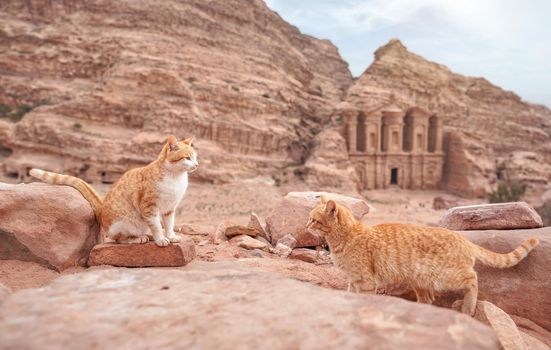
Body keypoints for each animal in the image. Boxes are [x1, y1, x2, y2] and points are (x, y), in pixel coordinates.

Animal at [30, 135, 198, 247]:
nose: (196, 165)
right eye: (187, 158)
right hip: (125, 222)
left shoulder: (170, 208)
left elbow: (169, 225)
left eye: (195, 157)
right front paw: (161, 239)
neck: (175, 178)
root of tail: (101, 208)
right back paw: (137, 238)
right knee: (118, 239)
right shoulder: (149, 208)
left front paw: (171, 236)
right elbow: (157, 226)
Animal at [308, 196, 540, 316]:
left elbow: (365, 299)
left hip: (446, 276)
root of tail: (462, 238)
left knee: (473, 278)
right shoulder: (353, 280)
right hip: (420, 281)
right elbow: (349, 294)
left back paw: (468, 307)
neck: (346, 236)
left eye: (314, 220)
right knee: (427, 300)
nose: (306, 226)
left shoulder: (365, 280)